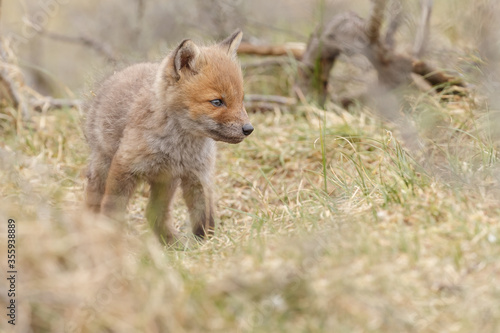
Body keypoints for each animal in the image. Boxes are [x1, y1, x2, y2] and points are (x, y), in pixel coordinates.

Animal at [84, 31, 254, 243]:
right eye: (217, 102)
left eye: (241, 99)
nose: (248, 128)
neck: (179, 149)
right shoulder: (124, 166)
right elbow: (112, 210)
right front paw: (109, 238)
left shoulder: (198, 175)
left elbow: (205, 215)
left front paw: (208, 243)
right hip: (103, 166)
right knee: (93, 199)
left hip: (166, 182)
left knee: (154, 214)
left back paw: (172, 243)